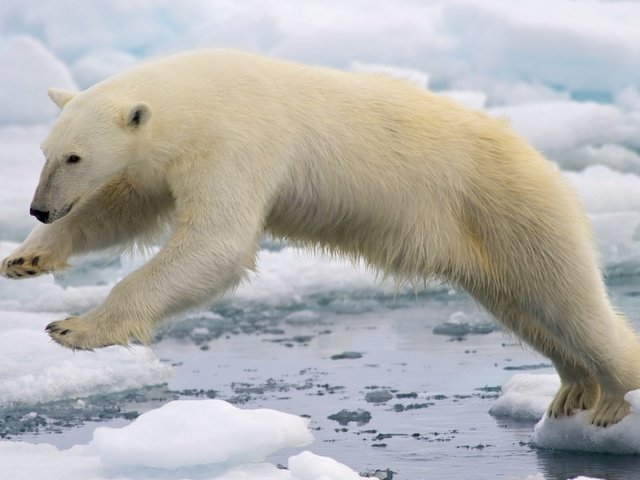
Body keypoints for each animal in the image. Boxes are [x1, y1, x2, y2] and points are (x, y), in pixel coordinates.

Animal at [1, 47, 640, 424]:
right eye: (45, 151)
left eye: (74, 156)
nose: (38, 208)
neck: (198, 95)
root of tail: (542, 161)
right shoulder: (167, 160)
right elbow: (123, 207)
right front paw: (27, 259)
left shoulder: (237, 141)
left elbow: (216, 243)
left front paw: (74, 327)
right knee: (528, 309)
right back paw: (572, 390)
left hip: (510, 207)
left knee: (569, 301)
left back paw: (611, 399)